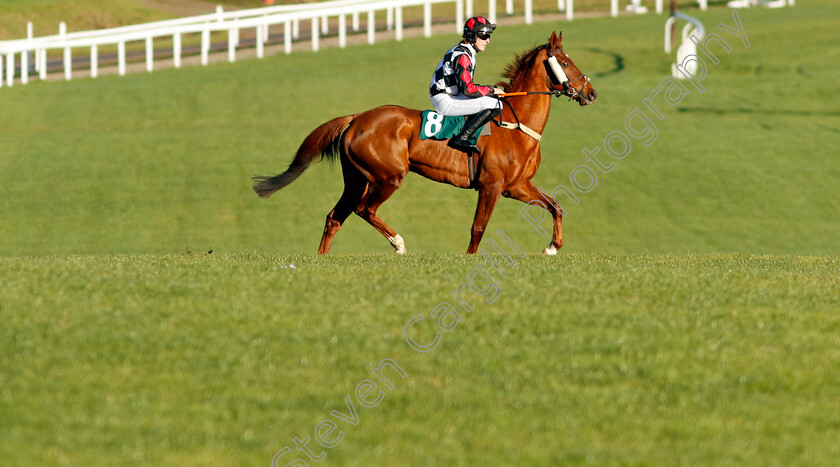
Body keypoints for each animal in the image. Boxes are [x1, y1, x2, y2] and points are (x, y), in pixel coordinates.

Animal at [253, 33, 592, 256]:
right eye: (565, 62)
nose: (591, 93)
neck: (516, 122)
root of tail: (357, 117)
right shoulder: (491, 186)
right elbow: (478, 229)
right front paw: (469, 261)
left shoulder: (517, 186)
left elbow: (556, 207)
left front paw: (552, 247)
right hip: (388, 177)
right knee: (364, 210)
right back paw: (398, 243)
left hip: (357, 179)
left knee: (335, 217)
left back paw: (322, 259)